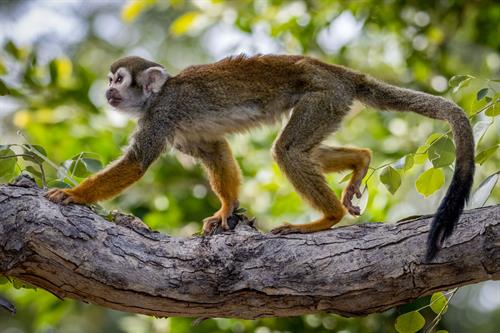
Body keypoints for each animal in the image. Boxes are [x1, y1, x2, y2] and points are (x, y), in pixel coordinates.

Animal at [45, 54, 474, 260]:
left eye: (119, 80)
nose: (108, 92)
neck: (155, 97)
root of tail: (338, 72)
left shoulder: (162, 114)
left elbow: (137, 163)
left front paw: (74, 195)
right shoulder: (180, 129)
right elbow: (215, 150)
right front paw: (226, 208)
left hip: (323, 95)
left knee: (287, 150)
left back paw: (327, 218)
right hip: (332, 103)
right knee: (302, 149)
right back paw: (360, 161)